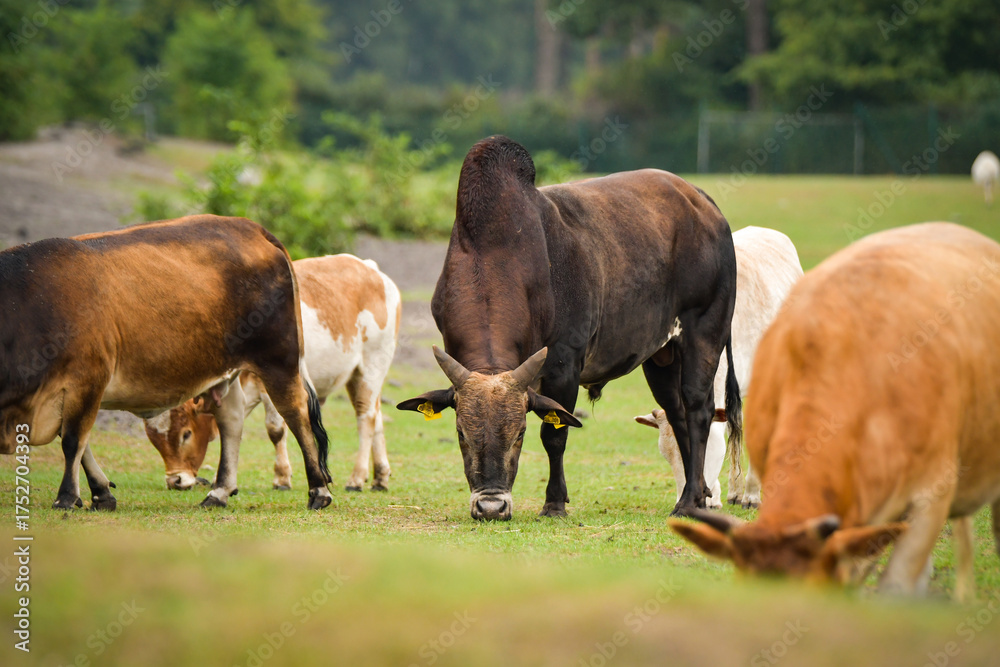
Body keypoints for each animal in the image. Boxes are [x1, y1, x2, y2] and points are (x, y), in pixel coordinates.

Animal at [0, 215, 334, 511]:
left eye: (186, 435)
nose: (176, 482)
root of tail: (250, 227)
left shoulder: (86, 379)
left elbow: (72, 441)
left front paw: (67, 497)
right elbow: (79, 443)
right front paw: (100, 493)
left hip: (278, 359)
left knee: (296, 413)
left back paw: (318, 490)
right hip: (225, 369)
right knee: (231, 420)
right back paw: (219, 492)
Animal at [144, 254, 401, 493]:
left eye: (186, 434)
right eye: (153, 440)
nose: (175, 481)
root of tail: (368, 267)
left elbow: (275, 428)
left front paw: (282, 477)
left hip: (372, 365)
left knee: (366, 419)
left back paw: (356, 478)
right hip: (360, 375)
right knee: (376, 417)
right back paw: (380, 477)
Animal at [397, 135, 741, 521]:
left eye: (520, 432)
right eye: (460, 433)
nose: (491, 506)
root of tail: (703, 202)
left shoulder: (564, 363)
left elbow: (554, 435)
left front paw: (554, 503)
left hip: (705, 333)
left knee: (699, 409)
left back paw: (688, 500)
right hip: (661, 356)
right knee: (677, 413)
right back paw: (693, 496)